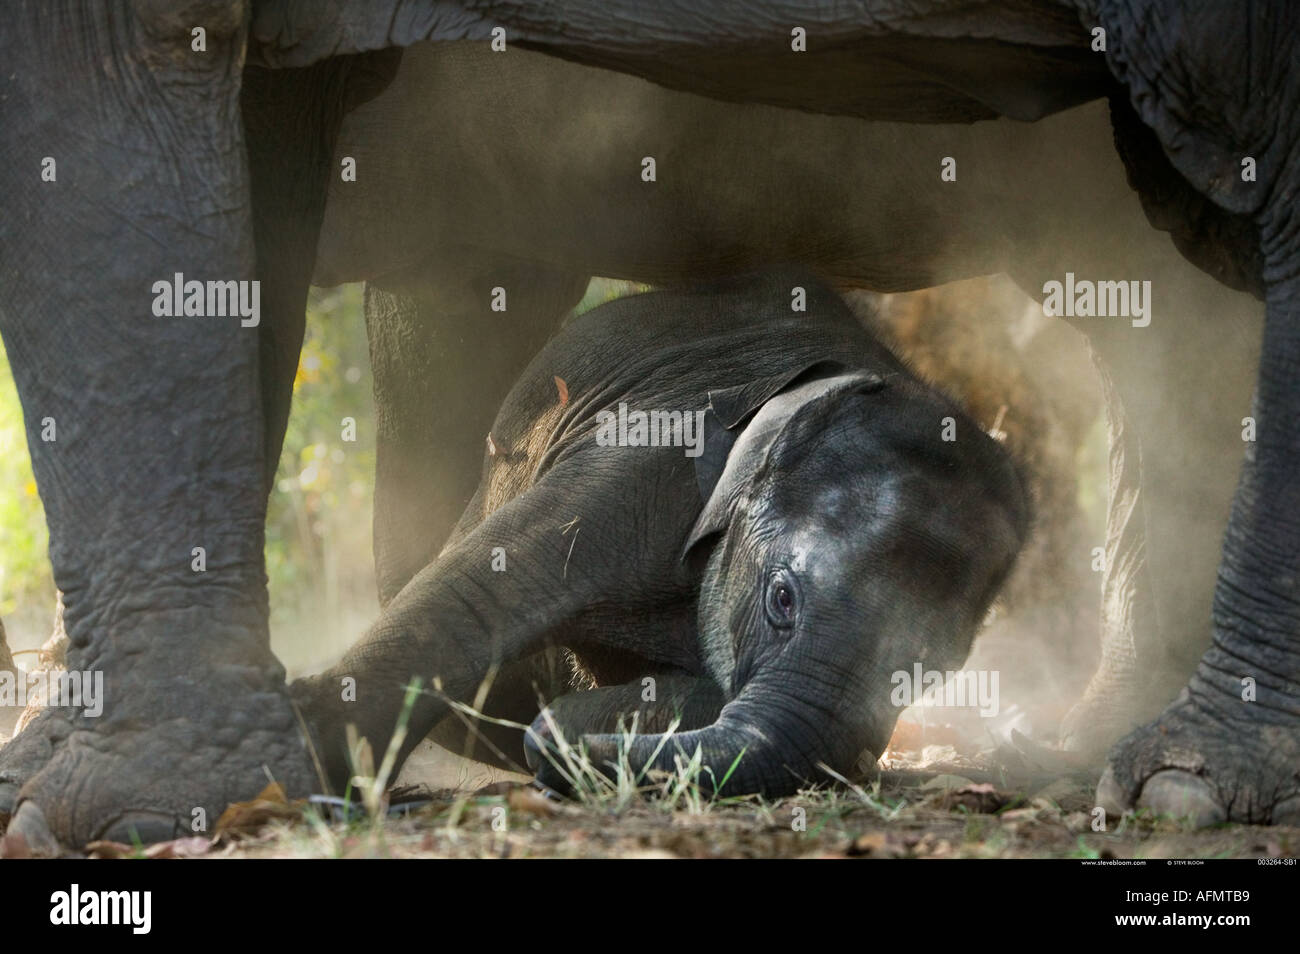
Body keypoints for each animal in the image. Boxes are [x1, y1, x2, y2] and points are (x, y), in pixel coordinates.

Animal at [290, 270, 1030, 796]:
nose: (564, 749)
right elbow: (485, 592)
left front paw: (583, 721)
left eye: (932, 674)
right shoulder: (649, 457)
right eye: (782, 600)